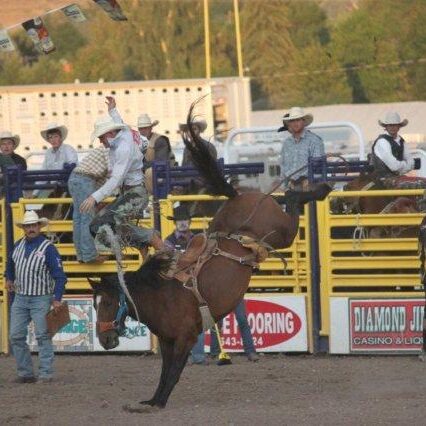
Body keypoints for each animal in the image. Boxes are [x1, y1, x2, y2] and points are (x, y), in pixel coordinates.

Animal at [88, 104, 332, 410]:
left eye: (109, 302)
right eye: (94, 305)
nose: (104, 339)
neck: (159, 293)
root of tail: (239, 196)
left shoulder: (185, 337)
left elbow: (174, 372)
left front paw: (160, 401)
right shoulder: (167, 340)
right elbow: (164, 371)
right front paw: (152, 399)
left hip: (282, 231)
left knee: (292, 197)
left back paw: (320, 189)